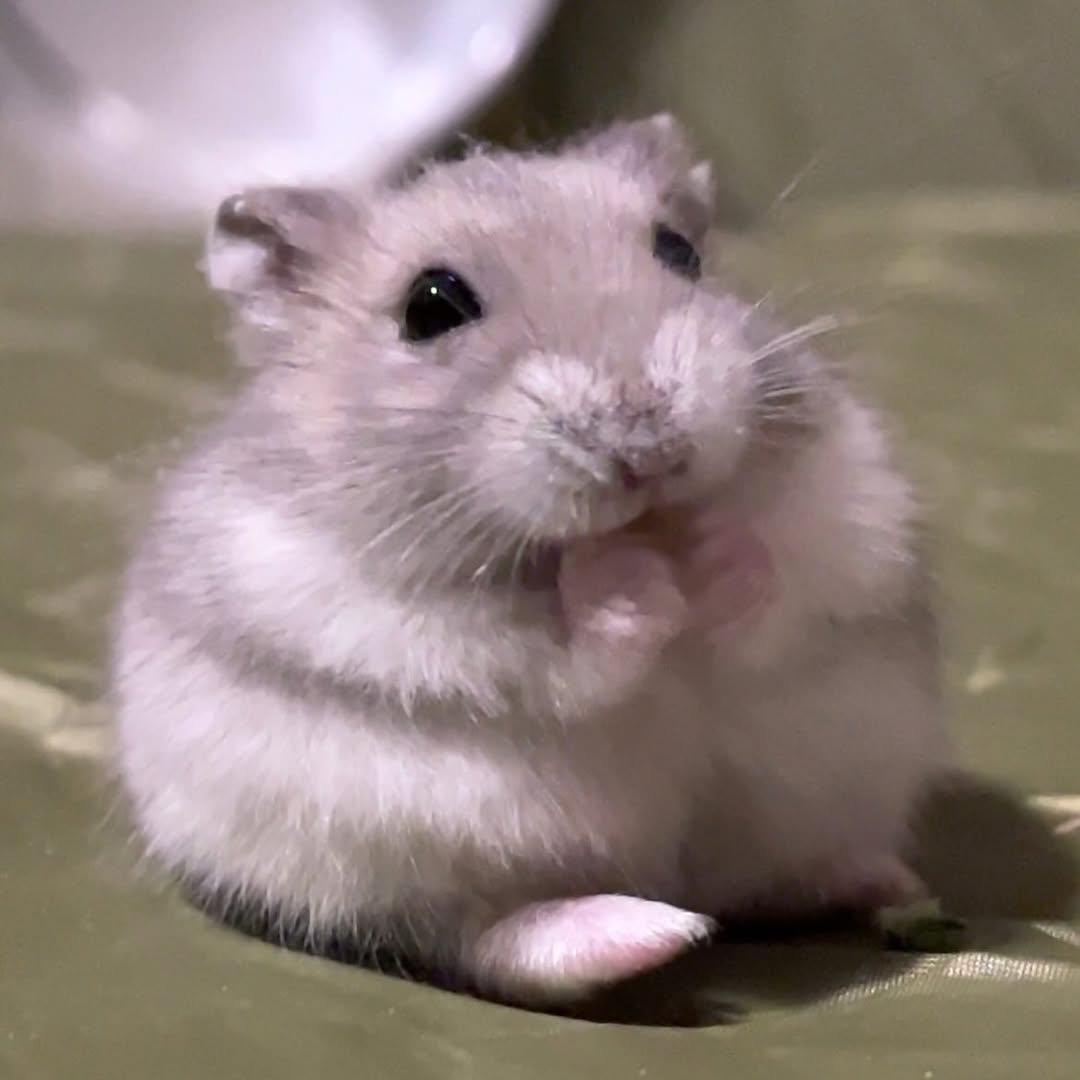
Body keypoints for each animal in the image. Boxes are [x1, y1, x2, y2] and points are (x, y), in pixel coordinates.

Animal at [109, 114, 952, 1008]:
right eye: (430, 306)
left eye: (679, 250)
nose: (649, 449)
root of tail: (671, 881)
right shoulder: (369, 604)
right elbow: (549, 653)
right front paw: (625, 578)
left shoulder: (852, 518)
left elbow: (779, 592)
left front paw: (713, 550)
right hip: (377, 854)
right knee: (488, 941)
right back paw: (651, 933)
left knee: (768, 885)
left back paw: (888, 884)